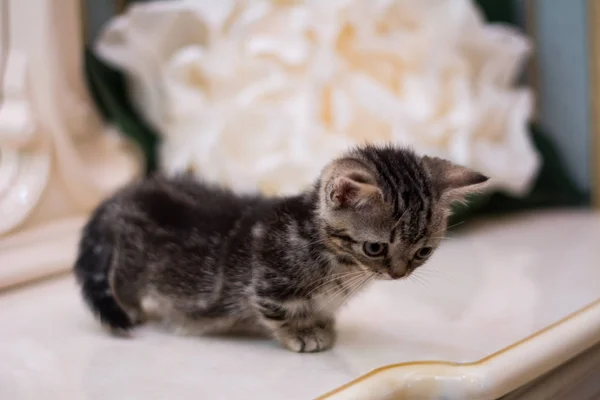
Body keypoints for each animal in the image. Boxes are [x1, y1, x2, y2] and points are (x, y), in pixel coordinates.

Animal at [74, 145, 488, 352]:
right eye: (375, 247)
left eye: (423, 252)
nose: (398, 274)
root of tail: (124, 193)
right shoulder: (267, 283)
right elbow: (278, 312)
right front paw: (302, 334)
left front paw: (323, 325)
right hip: (130, 262)